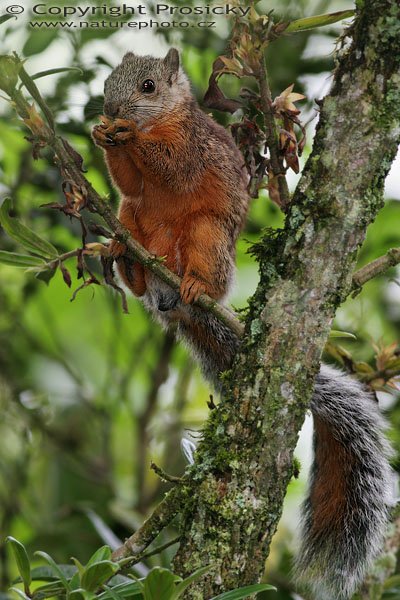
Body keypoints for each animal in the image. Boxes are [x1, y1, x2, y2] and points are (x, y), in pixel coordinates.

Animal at [92, 48, 392, 600]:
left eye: (148, 86)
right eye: (107, 83)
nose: (109, 110)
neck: (164, 119)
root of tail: (171, 299)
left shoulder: (190, 146)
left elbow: (172, 167)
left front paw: (126, 137)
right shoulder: (131, 185)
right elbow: (131, 181)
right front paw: (105, 135)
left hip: (208, 236)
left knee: (200, 266)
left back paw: (194, 287)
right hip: (131, 217)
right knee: (131, 229)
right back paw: (125, 257)